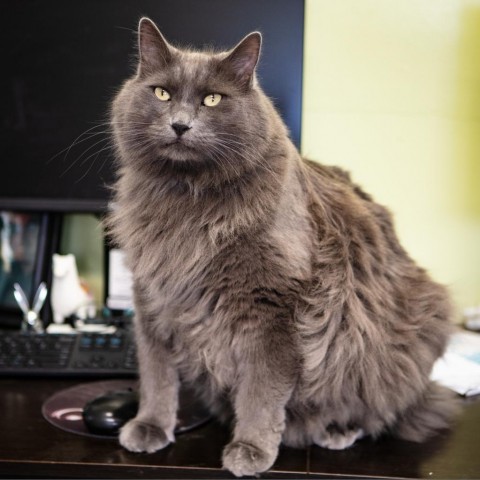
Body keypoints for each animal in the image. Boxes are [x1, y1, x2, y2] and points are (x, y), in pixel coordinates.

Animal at [109, 17, 458, 476]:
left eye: (212, 99)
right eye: (162, 93)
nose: (180, 124)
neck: (187, 201)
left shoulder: (274, 310)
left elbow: (262, 391)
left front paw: (251, 449)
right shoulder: (153, 295)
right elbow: (156, 375)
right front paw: (150, 426)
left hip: (402, 335)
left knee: (377, 411)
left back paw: (335, 429)